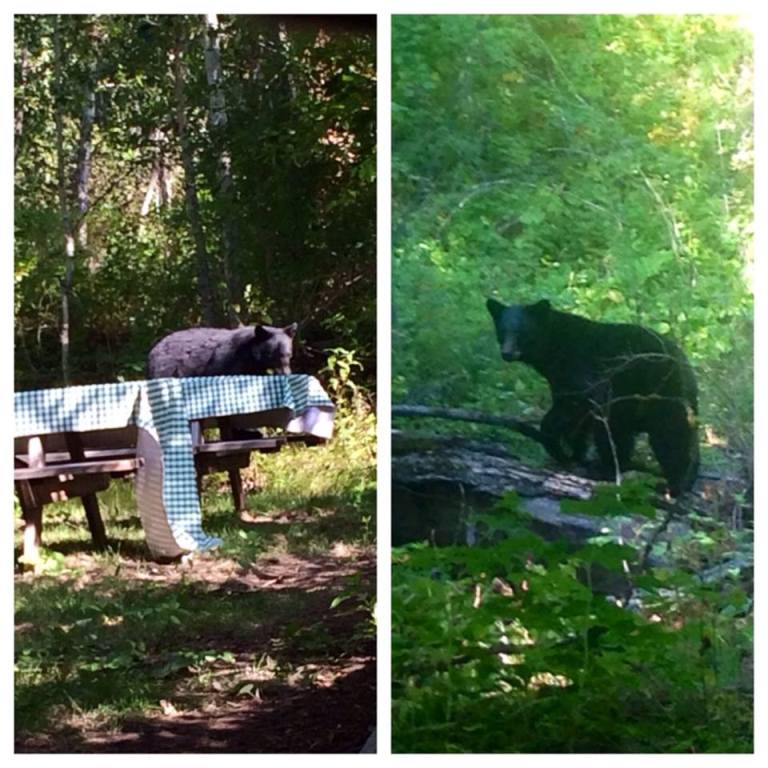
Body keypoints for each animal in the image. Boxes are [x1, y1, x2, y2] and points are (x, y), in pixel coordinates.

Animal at [147, 323, 298, 379]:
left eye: (288, 354)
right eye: (271, 355)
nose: (286, 374)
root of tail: (154, 349)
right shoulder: (229, 361)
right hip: (168, 369)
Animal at [486, 298, 699, 495]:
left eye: (521, 332)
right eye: (502, 331)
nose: (507, 353)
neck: (555, 347)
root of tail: (686, 367)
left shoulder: (582, 370)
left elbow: (576, 404)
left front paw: (556, 444)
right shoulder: (560, 380)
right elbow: (578, 419)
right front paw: (574, 454)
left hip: (659, 393)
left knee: (667, 435)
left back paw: (670, 483)